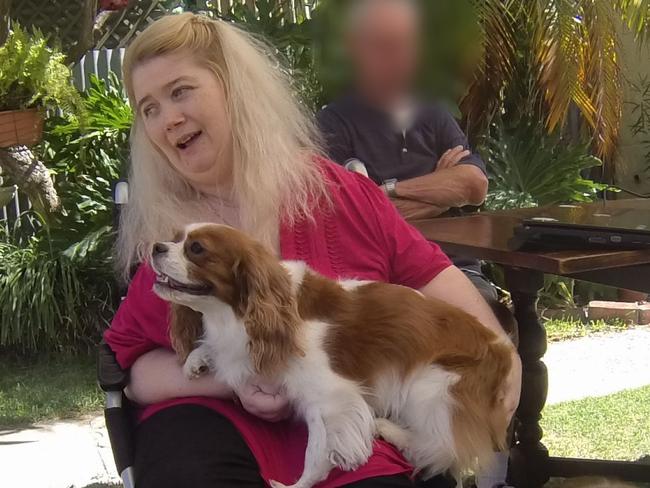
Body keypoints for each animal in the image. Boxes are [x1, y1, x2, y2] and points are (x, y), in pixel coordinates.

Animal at [149, 223, 512, 486]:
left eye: (196, 248)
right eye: (175, 238)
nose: (156, 246)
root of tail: (502, 351)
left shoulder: (330, 396)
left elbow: (316, 451)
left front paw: (297, 485)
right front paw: (198, 358)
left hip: (433, 386)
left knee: (442, 445)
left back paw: (390, 429)